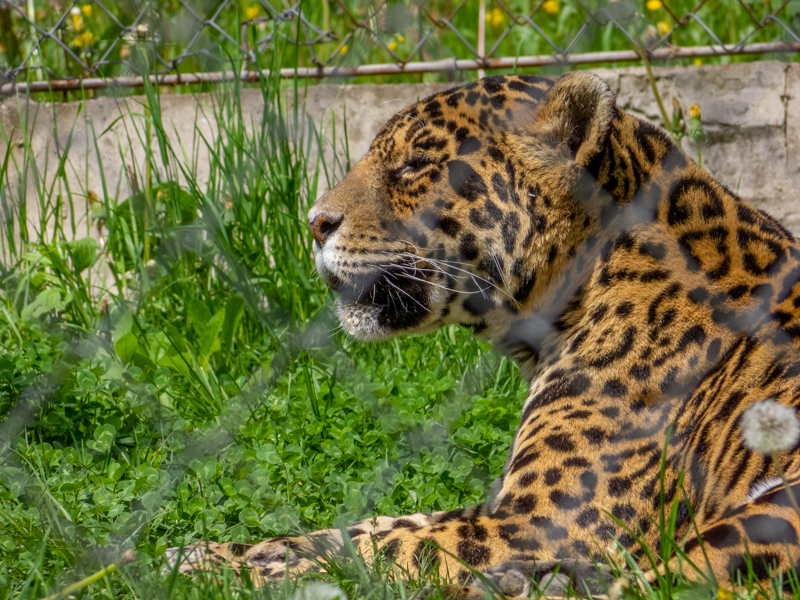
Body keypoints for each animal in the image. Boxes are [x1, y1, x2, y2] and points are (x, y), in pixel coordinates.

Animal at [166, 71, 800, 596]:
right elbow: (360, 527)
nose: (315, 223)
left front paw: (223, 573)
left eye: (414, 165)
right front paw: (195, 554)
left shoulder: (541, 525)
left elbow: (382, 547)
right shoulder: (500, 509)